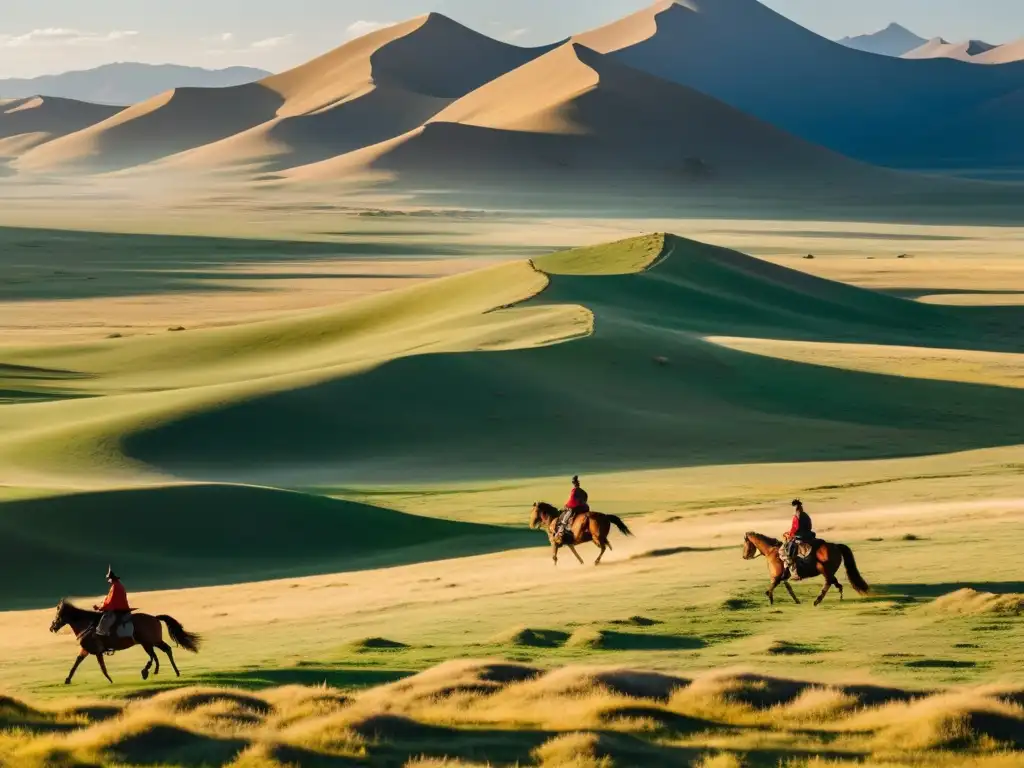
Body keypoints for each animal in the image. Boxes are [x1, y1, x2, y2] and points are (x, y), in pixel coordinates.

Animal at [49, 602, 201, 684]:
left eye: (58, 615)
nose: (52, 627)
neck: (87, 624)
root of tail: (155, 618)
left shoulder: (96, 650)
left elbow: (102, 667)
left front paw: (110, 680)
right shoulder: (86, 650)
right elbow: (77, 663)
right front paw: (67, 679)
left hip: (148, 642)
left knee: (156, 654)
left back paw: (148, 671)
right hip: (151, 642)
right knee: (163, 651)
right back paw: (169, 671)